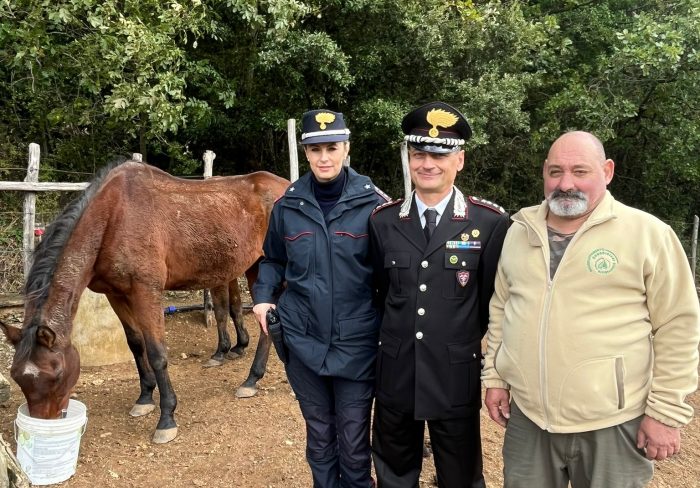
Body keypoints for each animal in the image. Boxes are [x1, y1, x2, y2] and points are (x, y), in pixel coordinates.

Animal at [0, 160, 288, 442]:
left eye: (57, 373)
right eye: (17, 377)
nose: (42, 427)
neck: (114, 216)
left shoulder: (146, 292)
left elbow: (157, 353)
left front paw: (167, 418)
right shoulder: (116, 294)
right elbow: (136, 344)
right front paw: (145, 398)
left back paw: (252, 379)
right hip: (255, 268)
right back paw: (250, 378)